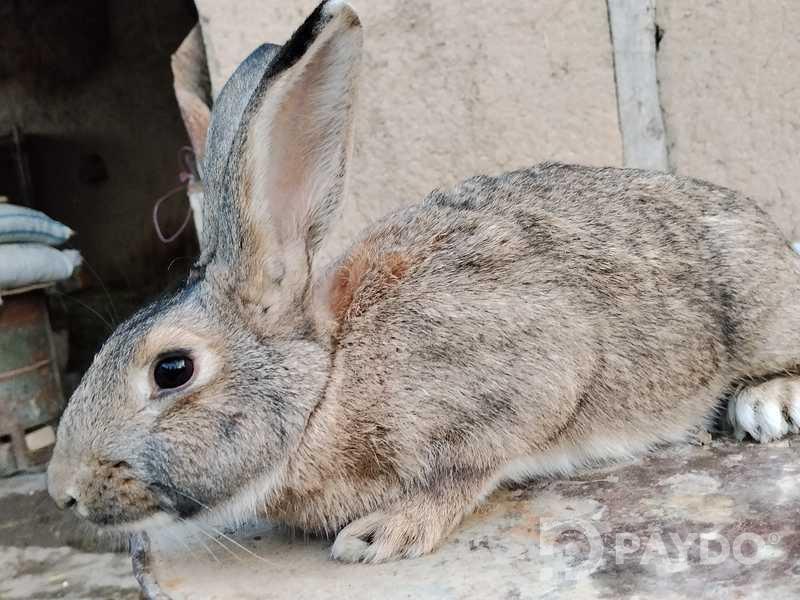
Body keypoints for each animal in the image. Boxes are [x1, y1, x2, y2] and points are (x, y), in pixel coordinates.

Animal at [47, 0, 800, 563]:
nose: (62, 492)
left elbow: (468, 469)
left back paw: (765, 406)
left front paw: (382, 535)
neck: (328, 383)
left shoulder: (531, 373)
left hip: (758, 306)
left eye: (172, 369)